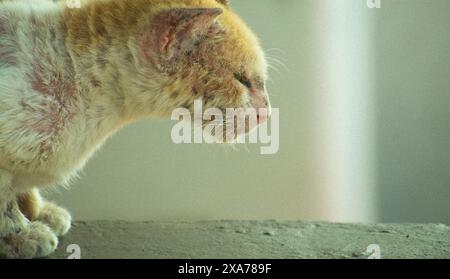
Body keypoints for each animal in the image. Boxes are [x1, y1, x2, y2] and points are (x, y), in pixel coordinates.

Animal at [0, 0, 270, 260]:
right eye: (242, 79)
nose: (267, 113)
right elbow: (6, 205)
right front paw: (21, 235)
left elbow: (26, 192)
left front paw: (39, 214)